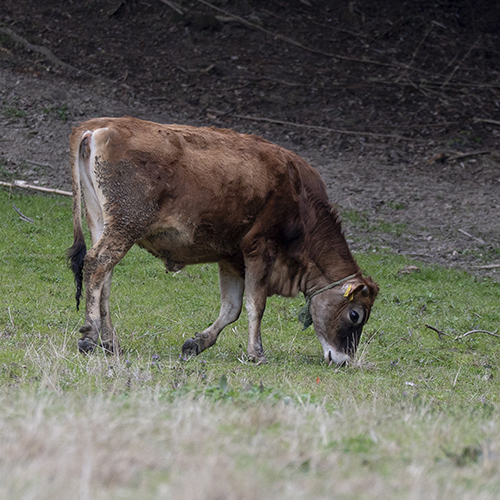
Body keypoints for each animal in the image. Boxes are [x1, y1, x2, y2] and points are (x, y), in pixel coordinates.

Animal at [67, 117, 378, 368]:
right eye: (355, 315)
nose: (343, 360)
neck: (299, 198)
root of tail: (101, 126)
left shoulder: (231, 257)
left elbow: (232, 308)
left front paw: (197, 343)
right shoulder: (260, 248)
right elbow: (255, 304)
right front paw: (257, 353)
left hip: (102, 222)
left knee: (103, 279)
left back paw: (111, 343)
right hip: (125, 226)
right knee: (96, 264)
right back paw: (91, 336)